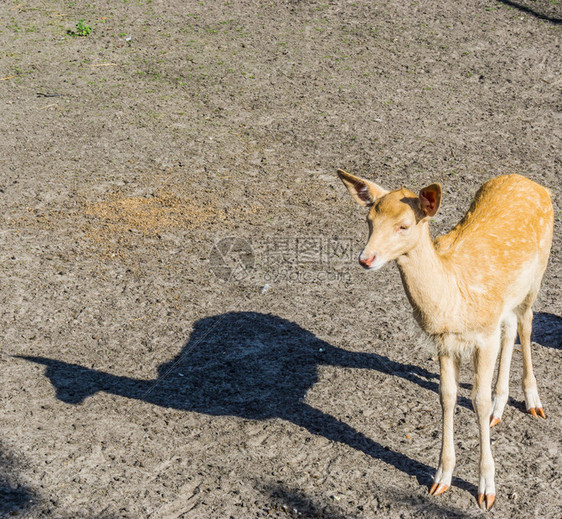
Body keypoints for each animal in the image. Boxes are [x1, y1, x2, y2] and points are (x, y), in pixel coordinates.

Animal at [336, 169, 552, 510]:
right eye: (369, 220)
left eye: (404, 225)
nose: (366, 259)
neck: (452, 300)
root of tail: (532, 183)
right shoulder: (445, 342)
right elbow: (447, 396)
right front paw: (441, 478)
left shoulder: (483, 337)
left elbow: (478, 400)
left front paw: (486, 490)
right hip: (507, 300)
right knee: (510, 328)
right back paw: (500, 408)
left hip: (537, 276)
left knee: (526, 323)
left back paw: (533, 402)